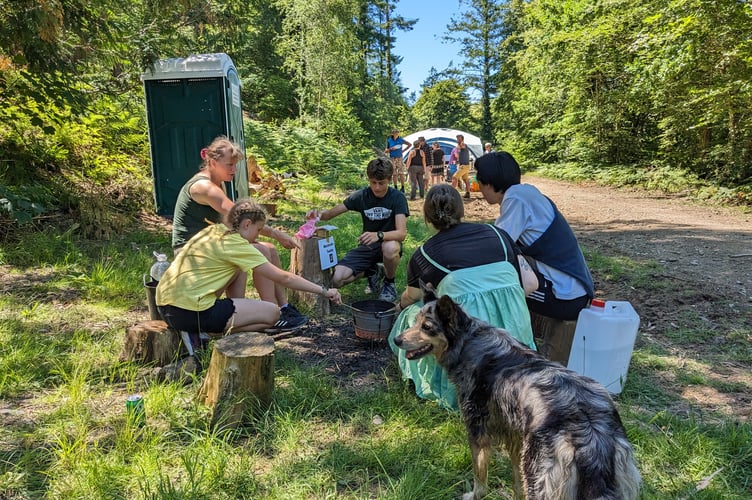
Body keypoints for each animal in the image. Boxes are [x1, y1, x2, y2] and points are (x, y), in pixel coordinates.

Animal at [394, 292, 640, 498]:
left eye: (426, 327)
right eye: (415, 322)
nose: (397, 340)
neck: (469, 341)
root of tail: (591, 434)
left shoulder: (478, 433)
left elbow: (480, 477)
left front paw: (474, 494)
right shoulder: (514, 440)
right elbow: (516, 484)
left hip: (539, 481)